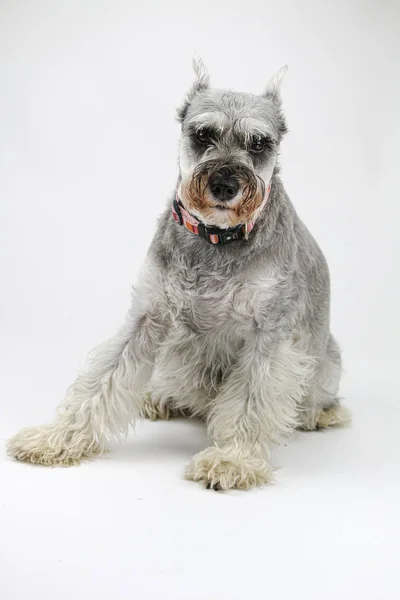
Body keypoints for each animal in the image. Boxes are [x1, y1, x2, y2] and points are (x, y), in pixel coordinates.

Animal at [7, 57, 350, 488]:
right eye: (202, 134)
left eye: (259, 143)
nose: (224, 185)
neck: (216, 238)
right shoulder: (147, 316)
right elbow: (100, 381)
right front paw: (57, 438)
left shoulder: (269, 335)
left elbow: (251, 401)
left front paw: (232, 460)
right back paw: (161, 399)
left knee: (314, 398)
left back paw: (319, 413)